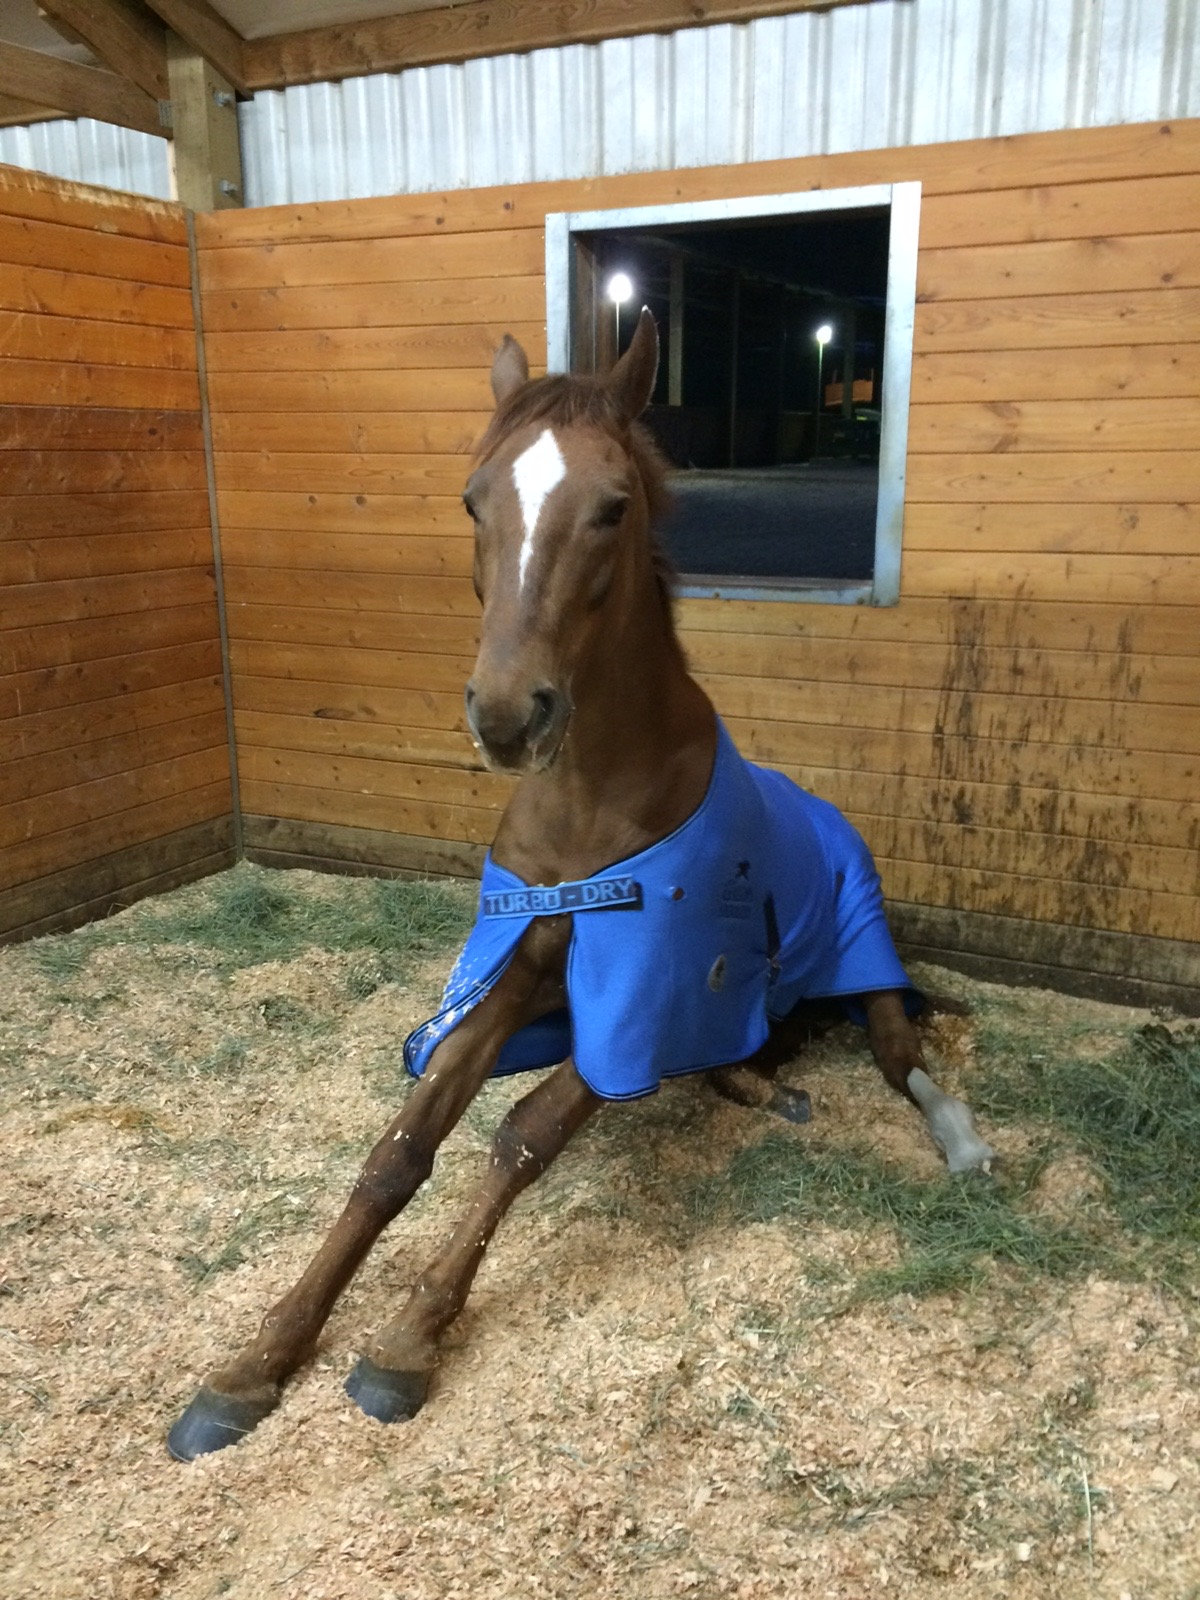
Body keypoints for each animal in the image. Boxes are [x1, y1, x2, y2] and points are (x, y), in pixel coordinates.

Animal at [167, 309, 995, 1462]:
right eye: (474, 499)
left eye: (611, 507)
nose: (509, 714)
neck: (588, 813)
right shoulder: (519, 973)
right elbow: (399, 1150)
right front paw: (254, 1363)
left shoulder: (641, 1004)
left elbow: (522, 1137)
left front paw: (405, 1343)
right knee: (747, 1054)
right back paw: (765, 1085)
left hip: (865, 957)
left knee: (900, 1052)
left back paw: (958, 1139)